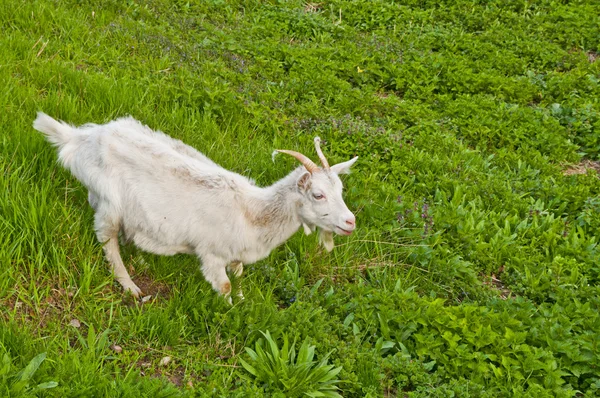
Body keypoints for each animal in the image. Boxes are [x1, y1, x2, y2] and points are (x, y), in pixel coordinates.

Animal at [32, 113, 358, 304]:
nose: (350, 222)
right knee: (106, 239)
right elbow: (224, 285)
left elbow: (239, 274)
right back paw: (129, 285)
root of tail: (81, 139)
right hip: (111, 204)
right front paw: (228, 310)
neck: (252, 212)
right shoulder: (211, 253)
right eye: (317, 194)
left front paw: (242, 300)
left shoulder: (236, 251)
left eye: (341, 190)